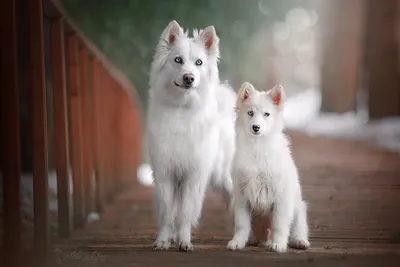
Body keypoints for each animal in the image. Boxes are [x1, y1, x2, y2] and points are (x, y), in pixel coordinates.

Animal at [145, 21, 236, 253]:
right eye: (178, 60)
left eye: (199, 62)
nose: (189, 78)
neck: (181, 109)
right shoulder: (166, 174)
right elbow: (168, 215)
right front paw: (163, 241)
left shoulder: (193, 176)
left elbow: (185, 214)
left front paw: (185, 242)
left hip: (225, 176)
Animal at [227, 82, 310, 254]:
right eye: (250, 113)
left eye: (267, 114)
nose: (256, 127)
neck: (257, 148)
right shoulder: (241, 198)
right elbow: (241, 225)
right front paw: (237, 242)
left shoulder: (281, 199)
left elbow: (279, 225)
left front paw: (278, 244)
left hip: (299, 208)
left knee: (298, 228)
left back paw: (300, 241)